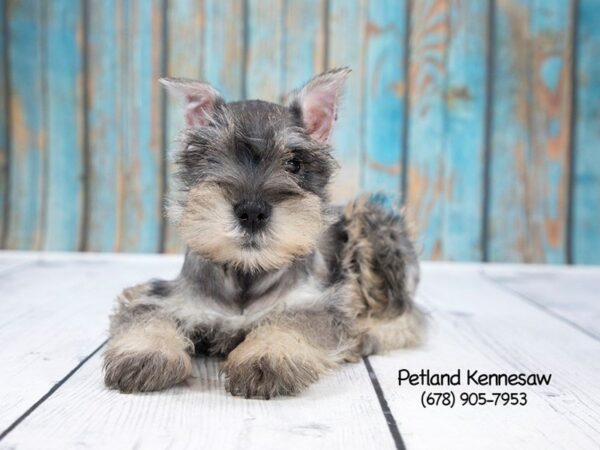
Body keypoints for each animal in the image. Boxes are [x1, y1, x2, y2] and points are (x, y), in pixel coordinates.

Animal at [103, 67, 424, 398]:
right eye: (213, 158)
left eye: (294, 163)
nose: (252, 212)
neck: (247, 272)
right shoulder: (160, 296)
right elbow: (148, 315)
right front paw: (145, 353)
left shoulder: (319, 305)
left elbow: (290, 322)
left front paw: (266, 357)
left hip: (374, 224)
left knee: (406, 315)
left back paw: (366, 334)